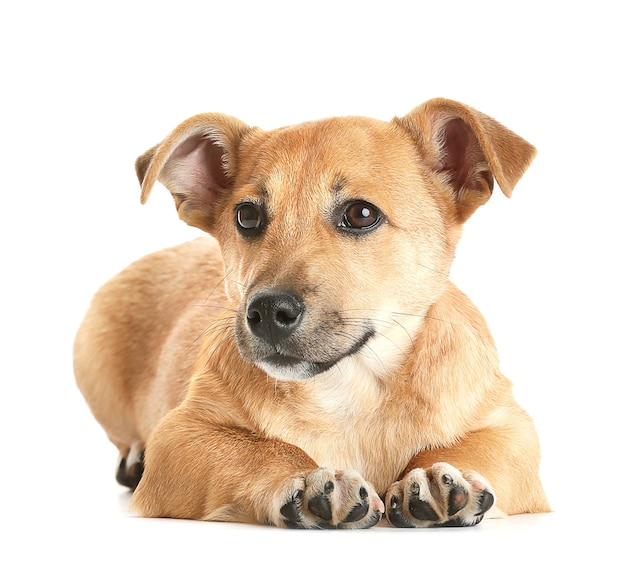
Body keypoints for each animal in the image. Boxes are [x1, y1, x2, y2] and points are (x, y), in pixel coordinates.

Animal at [75, 97, 548, 528]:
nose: (266, 310)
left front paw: (433, 473)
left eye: (361, 213)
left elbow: (470, 446)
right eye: (247, 216)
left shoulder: (514, 430)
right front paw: (303, 476)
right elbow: (257, 449)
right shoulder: (180, 435)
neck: (353, 387)